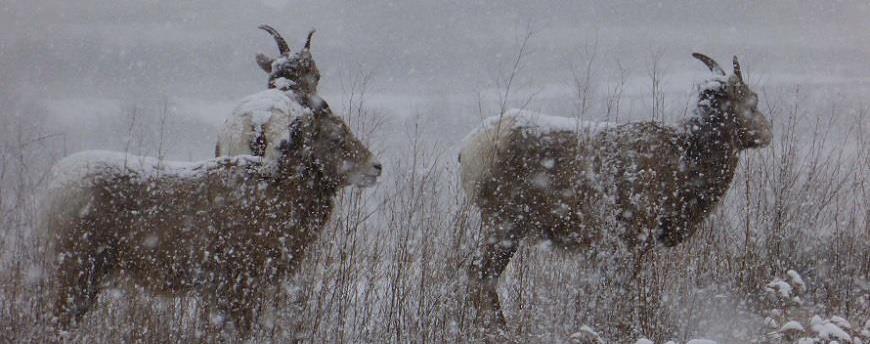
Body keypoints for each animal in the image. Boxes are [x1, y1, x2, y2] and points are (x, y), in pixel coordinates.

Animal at [44, 94, 384, 336]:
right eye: (336, 139)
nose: (376, 167)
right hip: (77, 271)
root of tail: (52, 185)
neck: (276, 202)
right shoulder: (240, 284)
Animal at [464, 55, 776, 330]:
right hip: (505, 222)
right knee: (480, 274)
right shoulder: (631, 237)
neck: (685, 168)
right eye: (752, 101)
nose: (767, 132)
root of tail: (467, 152)